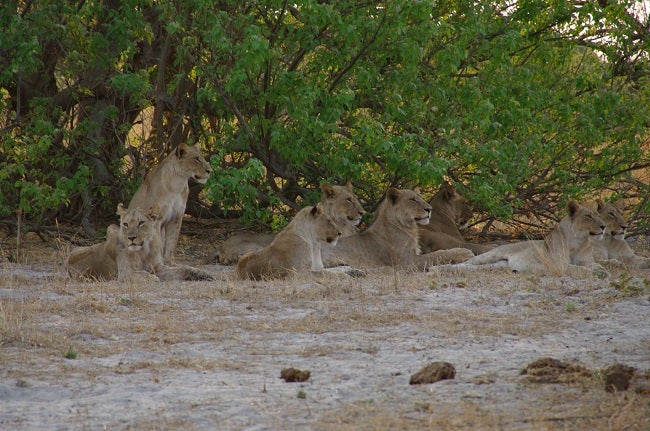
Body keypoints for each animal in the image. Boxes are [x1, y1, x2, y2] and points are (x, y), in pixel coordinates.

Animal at [322, 188, 474, 270]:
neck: (409, 228)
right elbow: (438, 254)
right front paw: (465, 252)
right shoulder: (407, 261)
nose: (429, 209)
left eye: (420, 198)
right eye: (412, 200)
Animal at [460, 201, 608, 278]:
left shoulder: (586, 261)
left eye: (598, 215)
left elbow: (593, 265)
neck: (579, 242)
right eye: (589, 216)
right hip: (492, 254)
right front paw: (596, 272)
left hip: (500, 265)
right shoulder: (558, 266)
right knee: (467, 262)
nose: (604, 226)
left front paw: (602, 270)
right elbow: (580, 269)